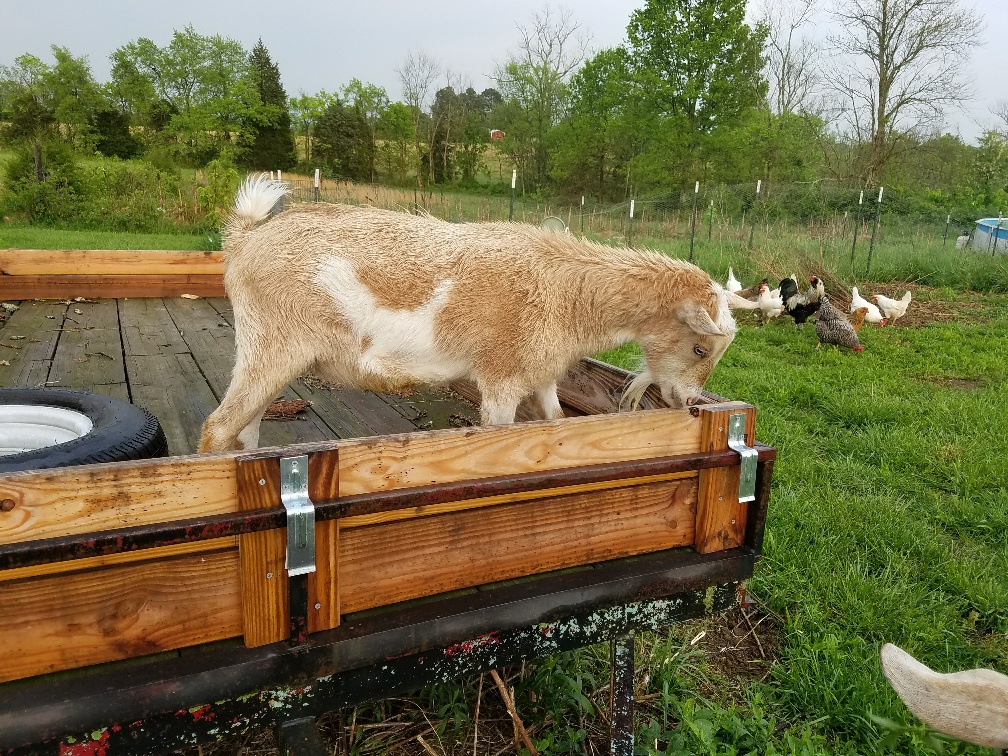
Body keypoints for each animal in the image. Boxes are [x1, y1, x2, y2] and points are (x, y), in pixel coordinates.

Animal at [197, 176, 740, 452]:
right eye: (699, 347)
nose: (687, 400)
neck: (564, 289)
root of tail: (245, 239)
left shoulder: (541, 374)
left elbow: (556, 420)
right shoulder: (501, 378)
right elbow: (499, 436)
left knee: (246, 427)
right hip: (272, 344)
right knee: (217, 428)